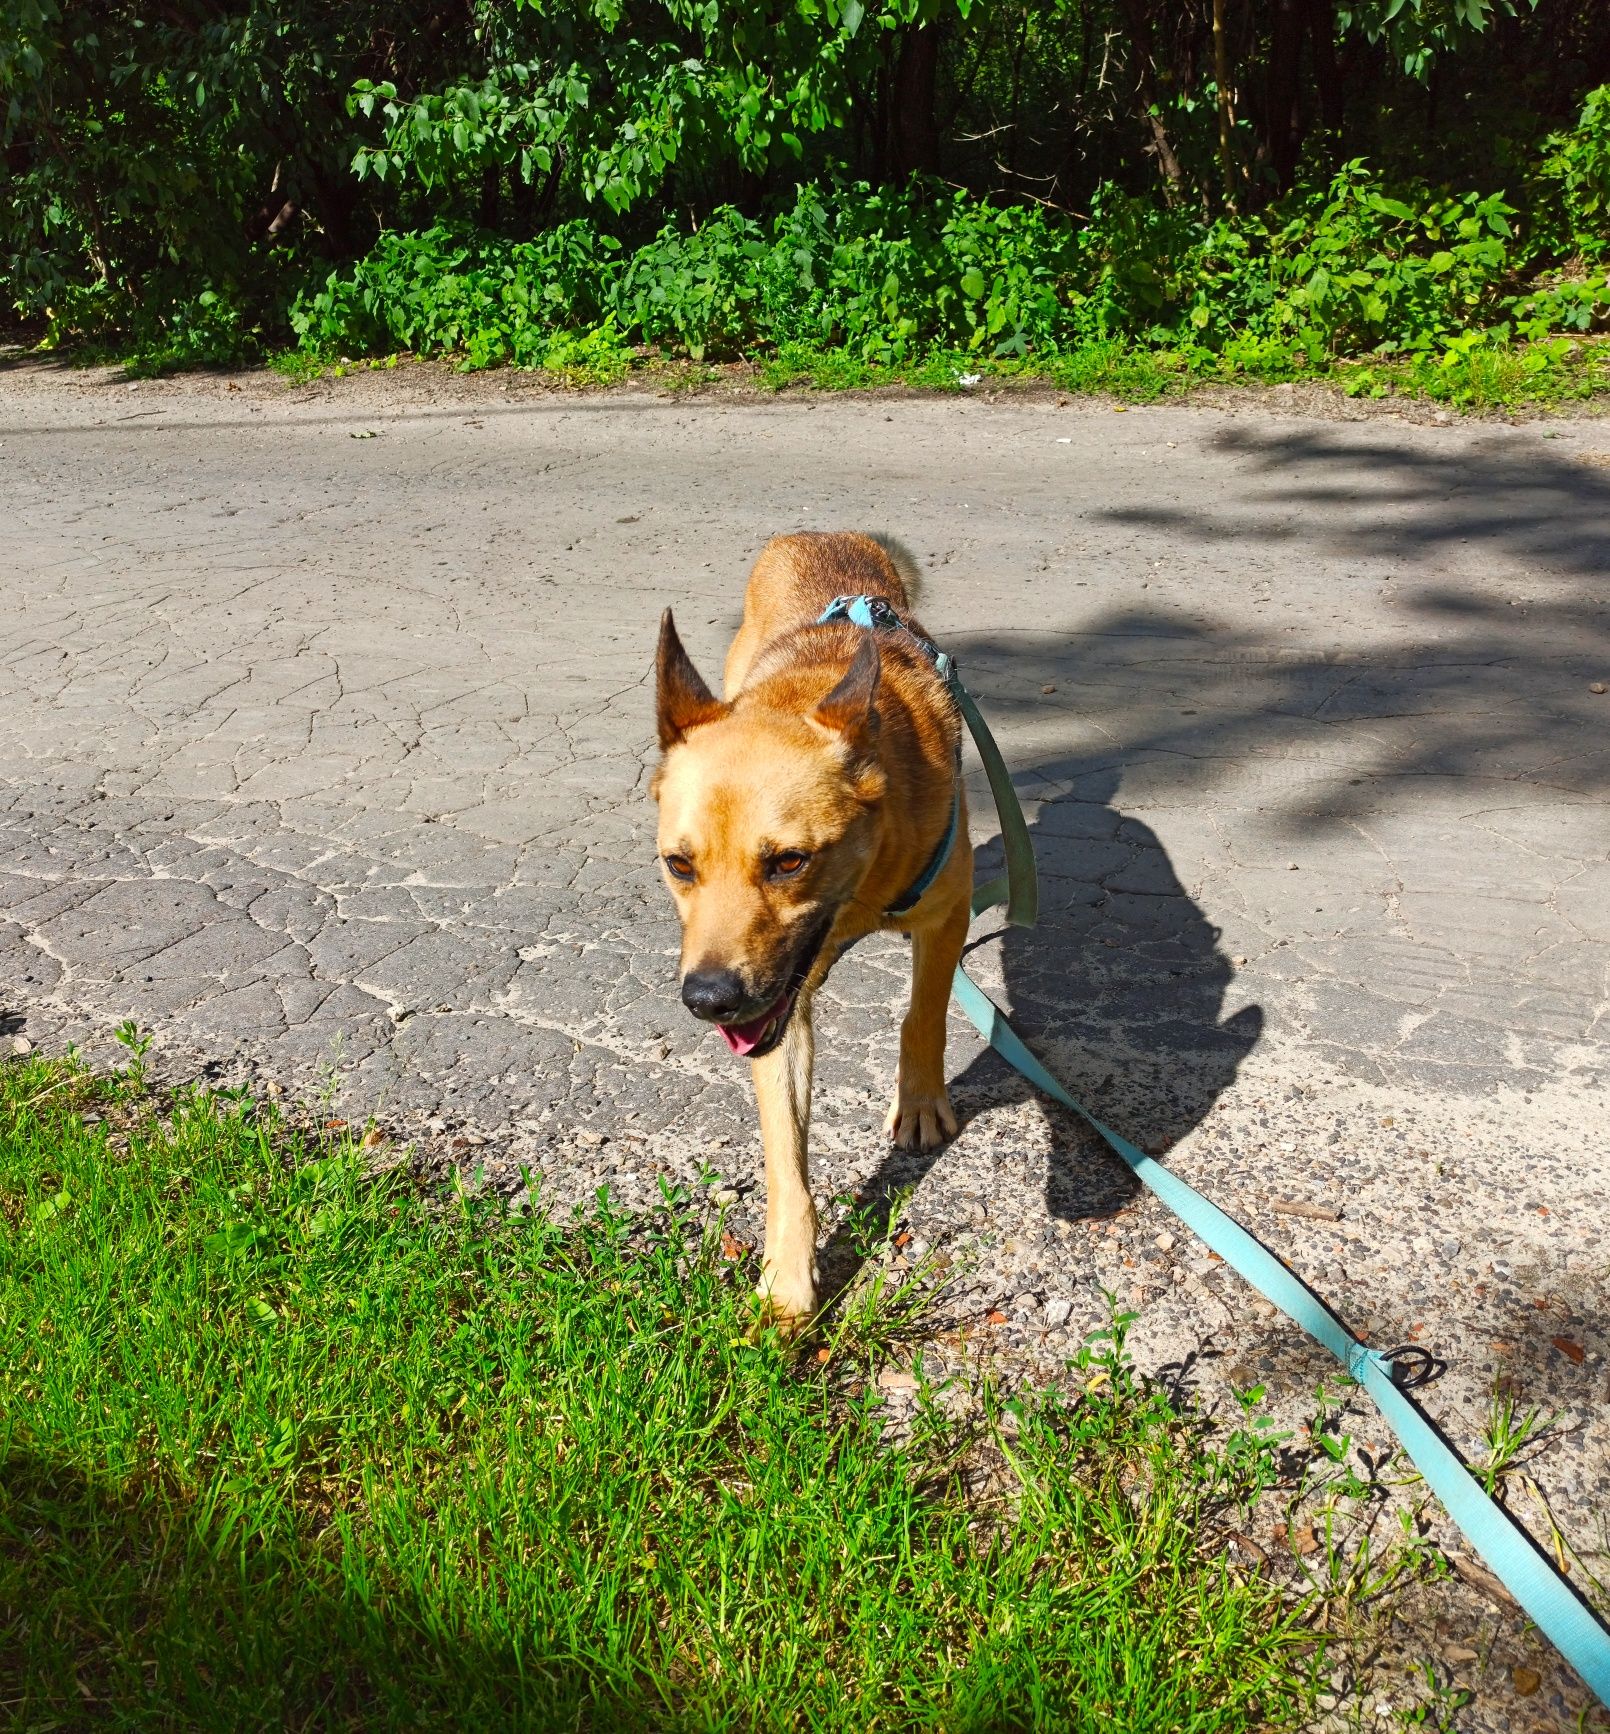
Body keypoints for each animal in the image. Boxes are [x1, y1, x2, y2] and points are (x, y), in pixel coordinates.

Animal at [652, 534, 971, 1317]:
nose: (708, 1000)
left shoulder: (948, 913)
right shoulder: (778, 1015)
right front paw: (790, 1280)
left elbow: (925, 1015)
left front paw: (921, 1100)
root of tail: (823, 536)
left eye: (789, 862)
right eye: (679, 865)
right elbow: (786, 1164)